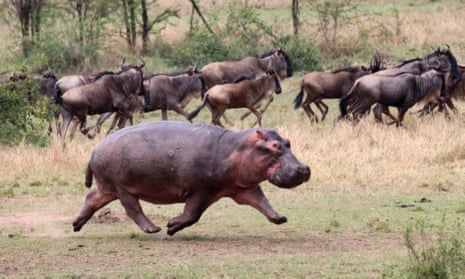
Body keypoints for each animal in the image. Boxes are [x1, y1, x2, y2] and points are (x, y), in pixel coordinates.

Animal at [72, 121, 310, 236]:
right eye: (275, 146)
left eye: (288, 142)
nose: (304, 168)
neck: (236, 147)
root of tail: (95, 149)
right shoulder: (200, 190)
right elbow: (192, 215)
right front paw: (170, 226)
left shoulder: (242, 187)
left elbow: (261, 201)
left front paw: (280, 218)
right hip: (123, 187)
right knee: (133, 209)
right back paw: (153, 229)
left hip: (107, 186)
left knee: (92, 198)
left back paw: (76, 225)